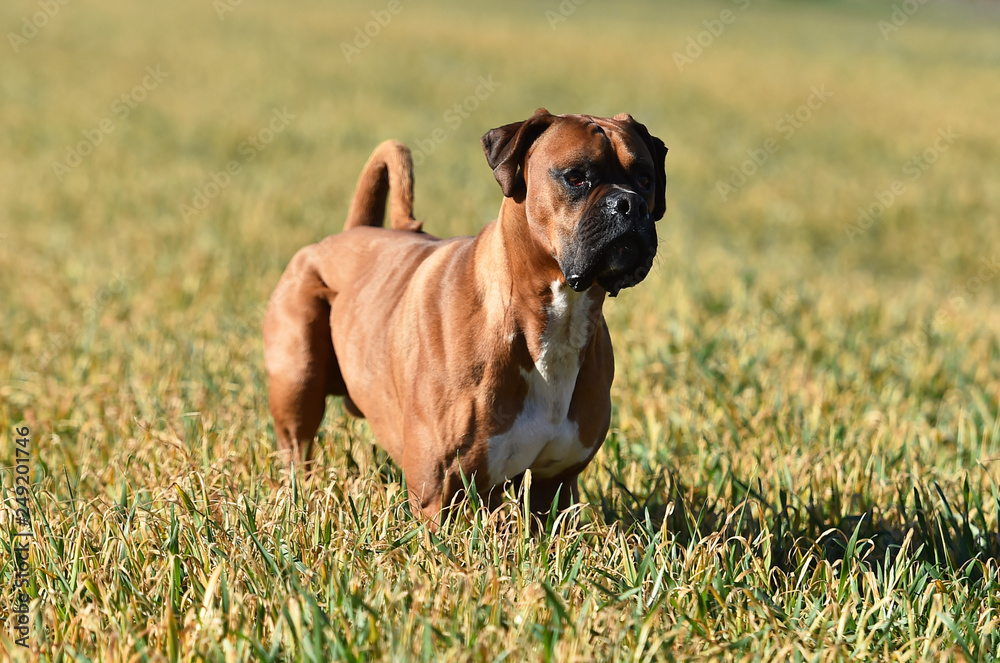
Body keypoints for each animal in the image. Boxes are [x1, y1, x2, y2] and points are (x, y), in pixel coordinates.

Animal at [266, 107, 668, 524]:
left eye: (645, 179)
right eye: (576, 177)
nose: (630, 204)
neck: (551, 317)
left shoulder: (552, 486)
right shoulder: (439, 495)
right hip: (297, 384)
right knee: (297, 449)